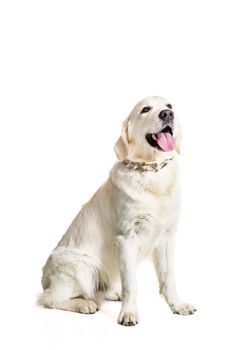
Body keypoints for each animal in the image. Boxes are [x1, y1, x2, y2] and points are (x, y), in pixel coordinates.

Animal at [39, 95, 196, 326]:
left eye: (169, 106)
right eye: (145, 109)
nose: (168, 114)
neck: (151, 172)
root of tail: (44, 277)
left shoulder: (167, 236)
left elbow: (169, 277)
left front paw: (177, 305)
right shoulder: (126, 238)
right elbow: (131, 284)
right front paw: (128, 314)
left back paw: (112, 293)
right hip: (81, 266)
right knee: (50, 298)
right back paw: (85, 304)